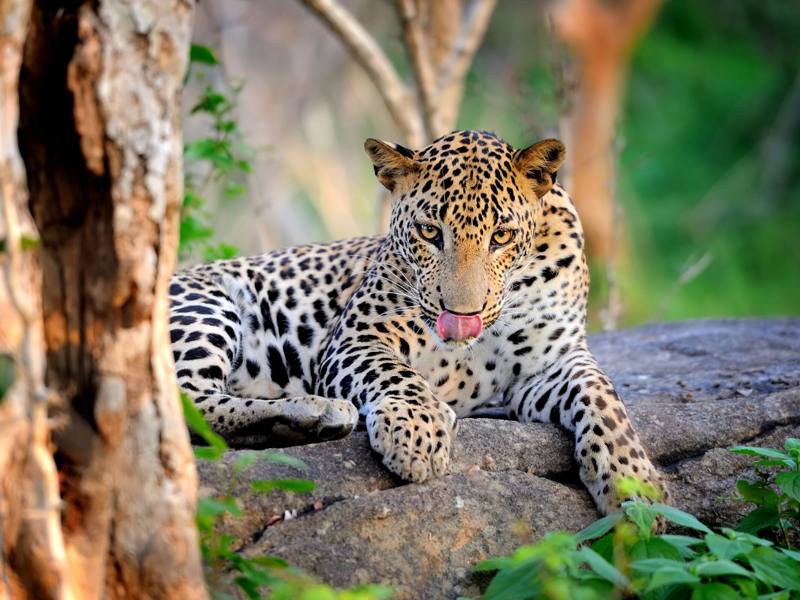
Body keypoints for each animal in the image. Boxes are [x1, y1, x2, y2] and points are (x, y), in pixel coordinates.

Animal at [169, 130, 667, 514]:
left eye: (502, 236)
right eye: (430, 232)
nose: (462, 317)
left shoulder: (551, 363)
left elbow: (603, 396)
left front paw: (635, 482)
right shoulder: (357, 339)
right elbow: (397, 373)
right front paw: (417, 431)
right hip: (206, 304)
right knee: (187, 402)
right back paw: (314, 412)